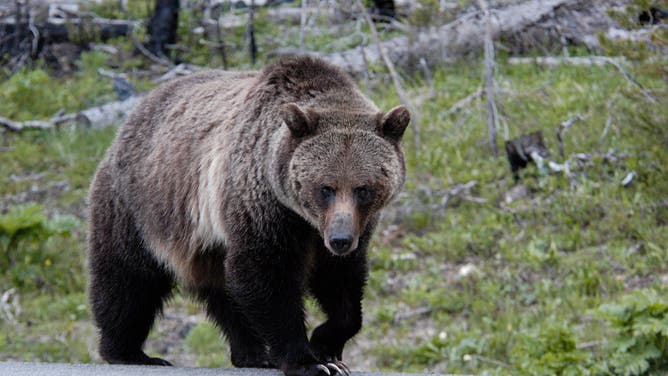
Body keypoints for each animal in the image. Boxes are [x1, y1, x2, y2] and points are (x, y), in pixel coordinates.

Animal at [86, 56, 410, 376]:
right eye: (325, 188)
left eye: (363, 189)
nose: (340, 240)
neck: (305, 219)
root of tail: (133, 114)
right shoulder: (263, 205)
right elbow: (265, 273)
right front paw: (310, 362)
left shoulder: (352, 226)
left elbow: (342, 281)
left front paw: (327, 347)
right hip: (137, 204)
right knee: (128, 278)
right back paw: (129, 352)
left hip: (206, 241)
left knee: (223, 291)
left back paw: (253, 354)